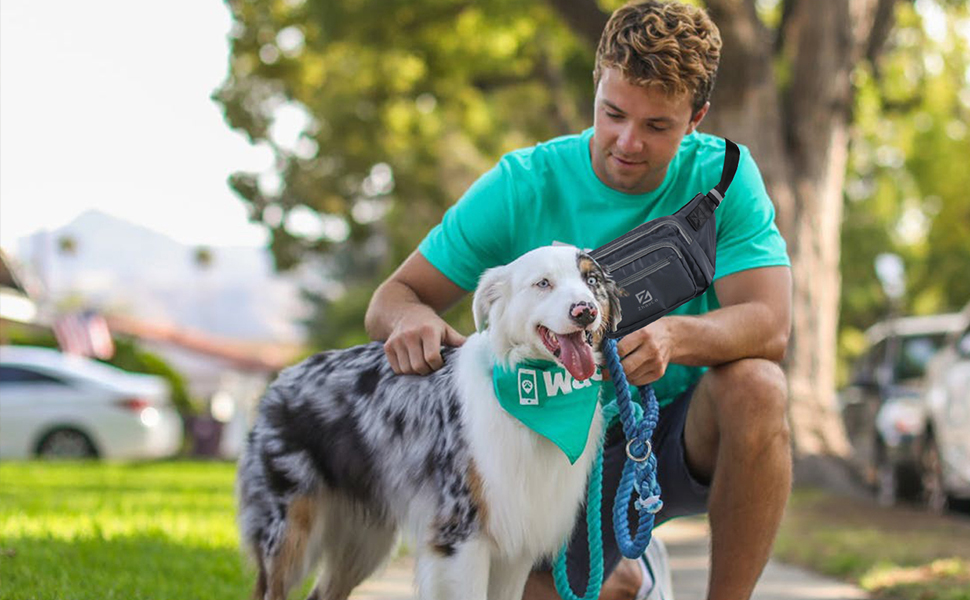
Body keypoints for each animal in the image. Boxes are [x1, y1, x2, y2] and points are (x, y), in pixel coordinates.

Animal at [238, 245, 624, 600]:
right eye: (543, 283)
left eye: (591, 281)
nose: (585, 311)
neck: (532, 385)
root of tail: (282, 379)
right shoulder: (461, 534)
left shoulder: (518, 543)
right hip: (288, 532)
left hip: (364, 539)